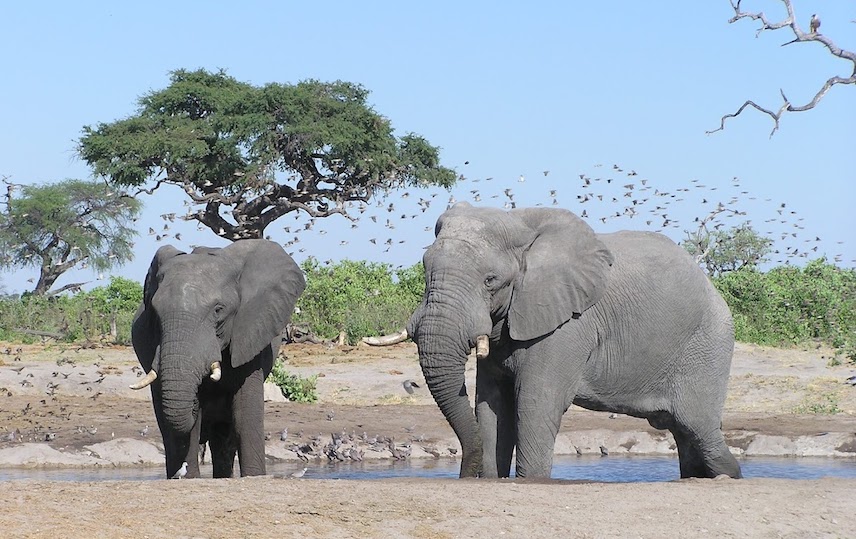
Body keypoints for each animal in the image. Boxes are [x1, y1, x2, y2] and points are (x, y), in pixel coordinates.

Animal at [130, 238, 304, 478]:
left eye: (218, 310)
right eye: (154, 312)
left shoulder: (250, 332)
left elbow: (244, 414)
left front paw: (254, 477)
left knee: (224, 436)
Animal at [404, 202, 740, 480]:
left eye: (491, 280)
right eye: (425, 267)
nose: (464, 475)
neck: (520, 224)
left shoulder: (568, 326)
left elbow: (535, 403)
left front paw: (532, 481)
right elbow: (491, 405)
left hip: (707, 346)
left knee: (698, 428)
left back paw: (728, 475)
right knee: (685, 434)